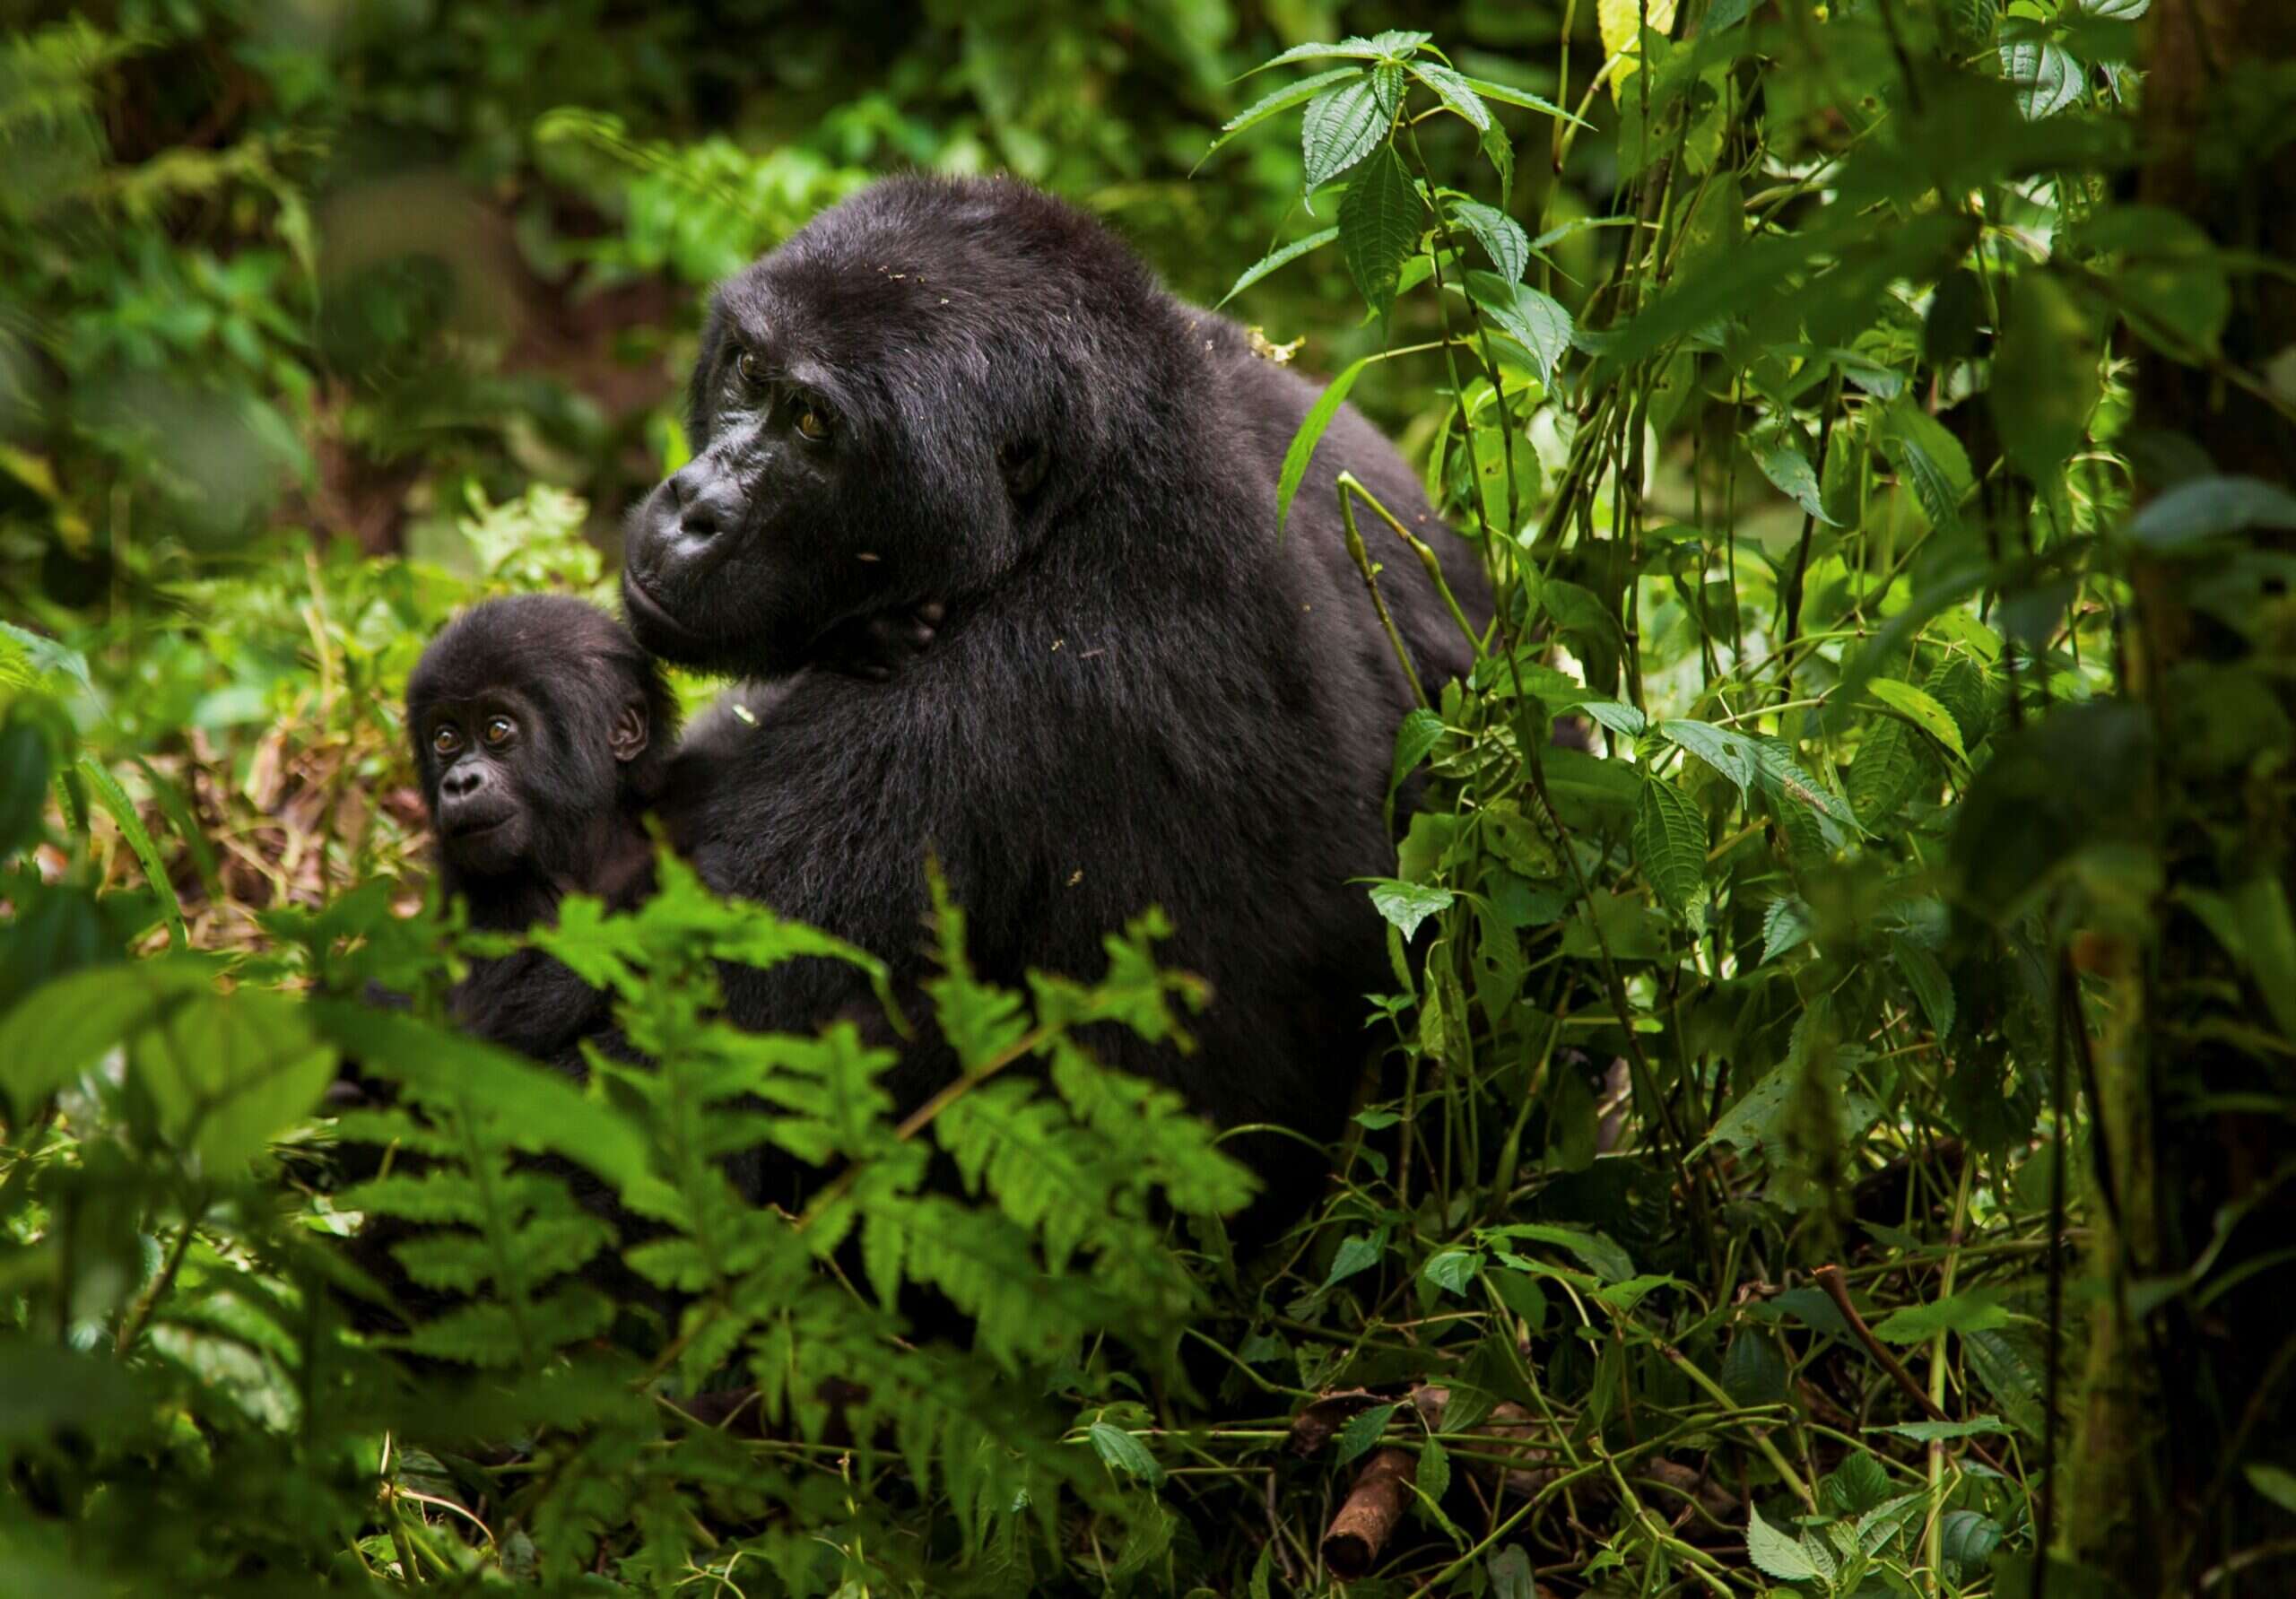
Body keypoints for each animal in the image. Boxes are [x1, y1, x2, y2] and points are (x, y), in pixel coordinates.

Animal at [629, 178, 1487, 1221]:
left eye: (812, 426)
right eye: (748, 370)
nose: (692, 509)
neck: (1087, 491)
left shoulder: (978, 707)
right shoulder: (1295, 411)